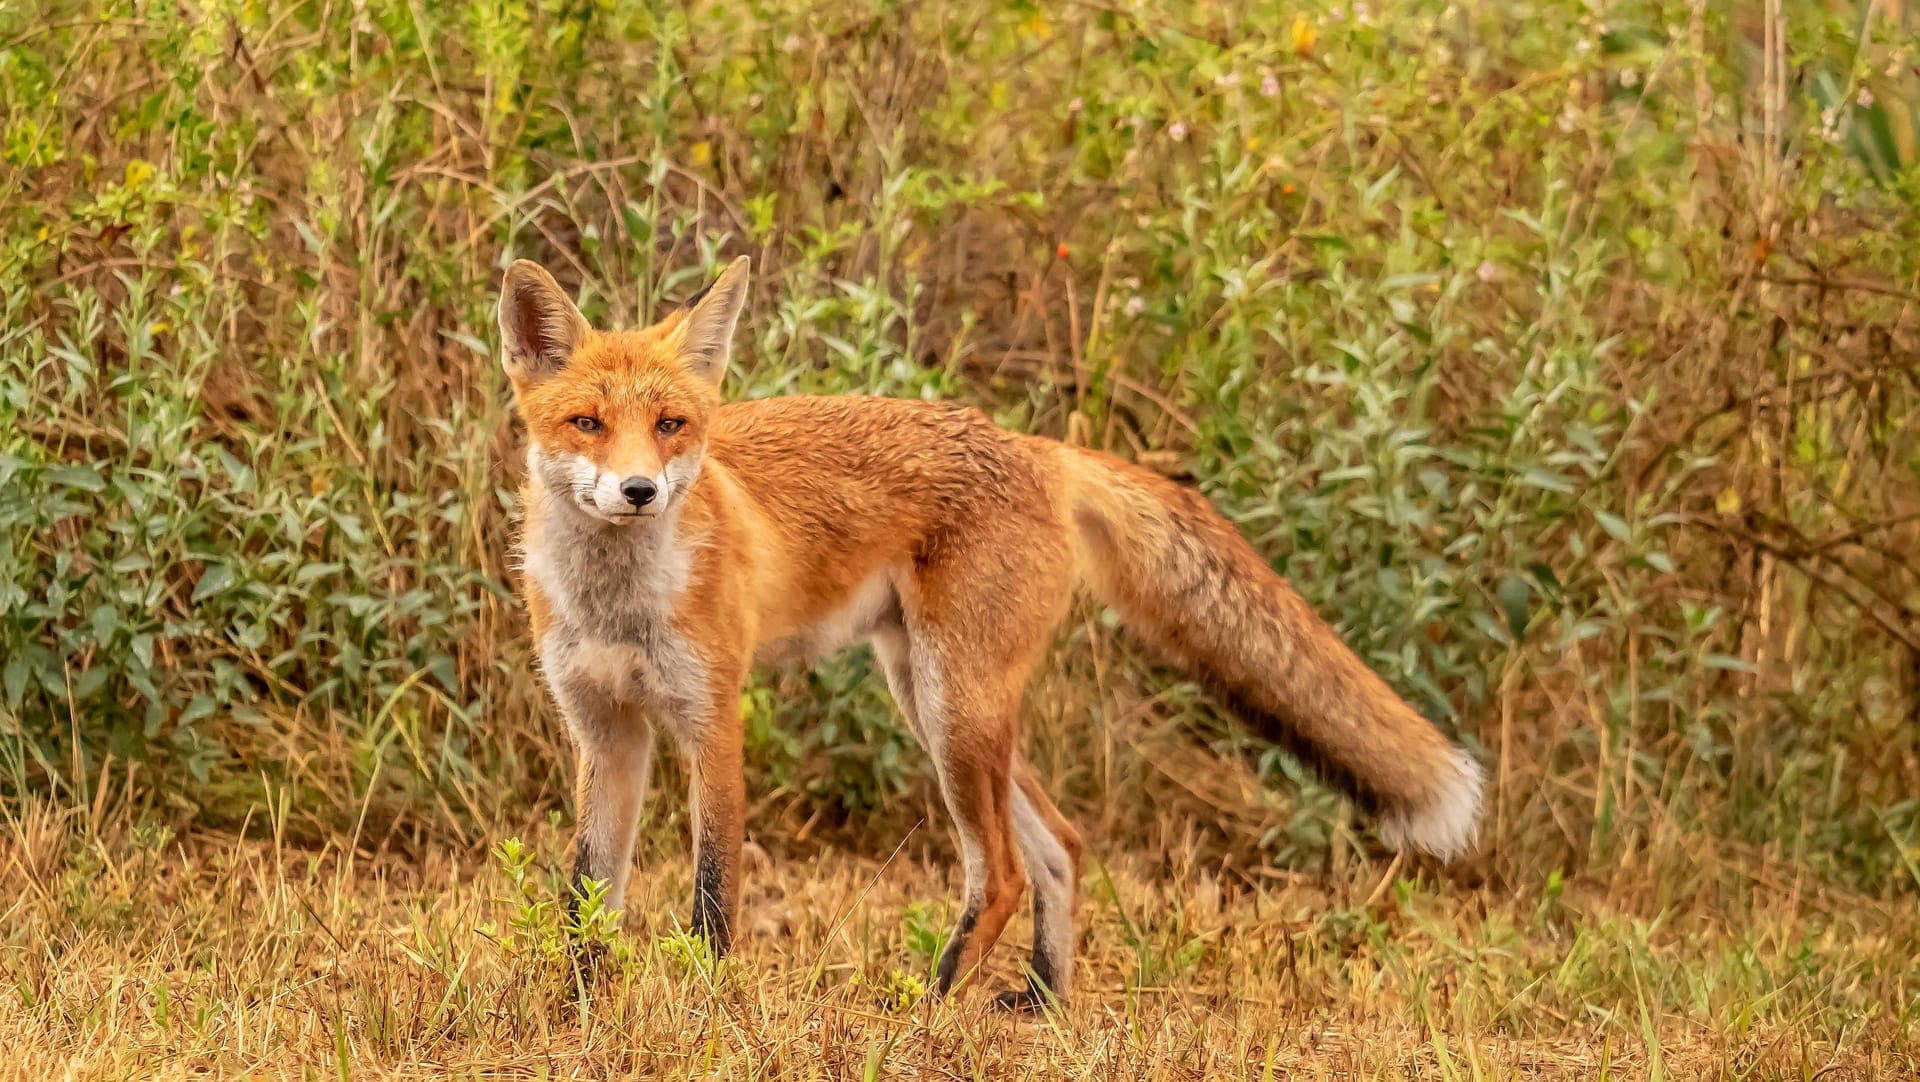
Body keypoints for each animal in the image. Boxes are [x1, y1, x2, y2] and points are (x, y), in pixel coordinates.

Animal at [498, 254, 1483, 1011]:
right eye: (588, 423)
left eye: (671, 425)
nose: (638, 492)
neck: (617, 603)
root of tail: (1039, 448)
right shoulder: (607, 732)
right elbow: (586, 897)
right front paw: (577, 1008)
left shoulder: (712, 720)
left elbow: (711, 898)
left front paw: (703, 1007)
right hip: (938, 704)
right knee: (1065, 844)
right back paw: (1043, 1001)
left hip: (952, 710)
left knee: (1004, 871)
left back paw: (929, 1007)